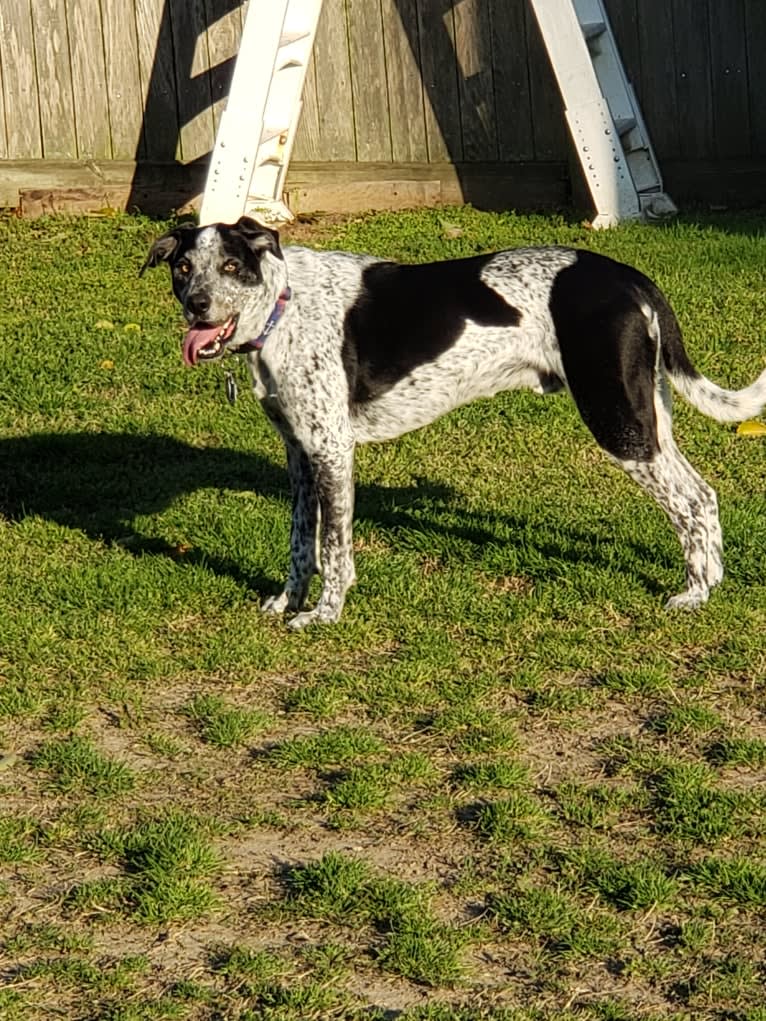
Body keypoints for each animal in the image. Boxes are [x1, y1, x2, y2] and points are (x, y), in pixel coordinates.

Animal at [144, 219, 766, 624]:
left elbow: (334, 550)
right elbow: (301, 543)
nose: (197, 305)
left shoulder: (332, 453)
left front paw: (324, 614)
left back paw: (694, 595)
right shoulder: (301, 455)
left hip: (619, 424)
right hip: (647, 416)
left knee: (689, 502)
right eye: (183, 267)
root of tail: (630, 277)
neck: (285, 307)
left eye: (231, 266)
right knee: (704, 496)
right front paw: (287, 604)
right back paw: (710, 585)